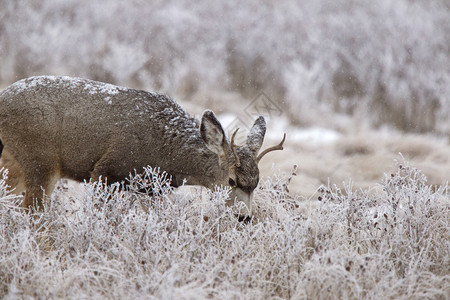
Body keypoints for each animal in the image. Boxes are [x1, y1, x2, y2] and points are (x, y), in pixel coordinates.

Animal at [0, 76, 286, 219]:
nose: (244, 217)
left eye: (256, 183)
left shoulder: (152, 190)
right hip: (39, 158)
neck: (168, 153)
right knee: (32, 212)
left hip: (13, 160)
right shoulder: (106, 171)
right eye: (231, 180)